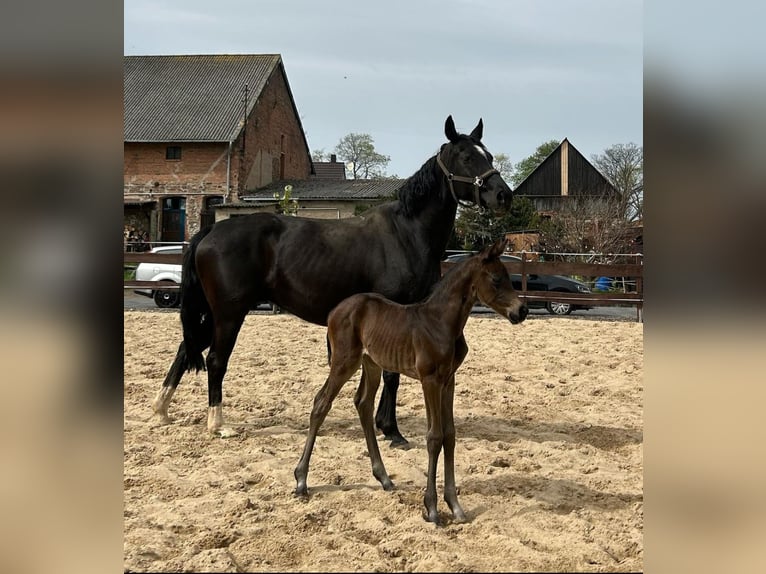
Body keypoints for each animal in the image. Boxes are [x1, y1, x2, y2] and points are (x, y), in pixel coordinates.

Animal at [294, 237, 528, 528]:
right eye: (497, 279)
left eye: (509, 277)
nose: (522, 310)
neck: (441, 322)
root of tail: (334, 311)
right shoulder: (430, 380)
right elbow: (434, 437)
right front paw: (432, 509)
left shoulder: (449, 380)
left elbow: (450, 435)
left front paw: (456, 507)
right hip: (344, 361)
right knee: (321, 402)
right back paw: (301, 481)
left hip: (371, 363)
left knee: (363, 403)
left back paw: (384, 478)